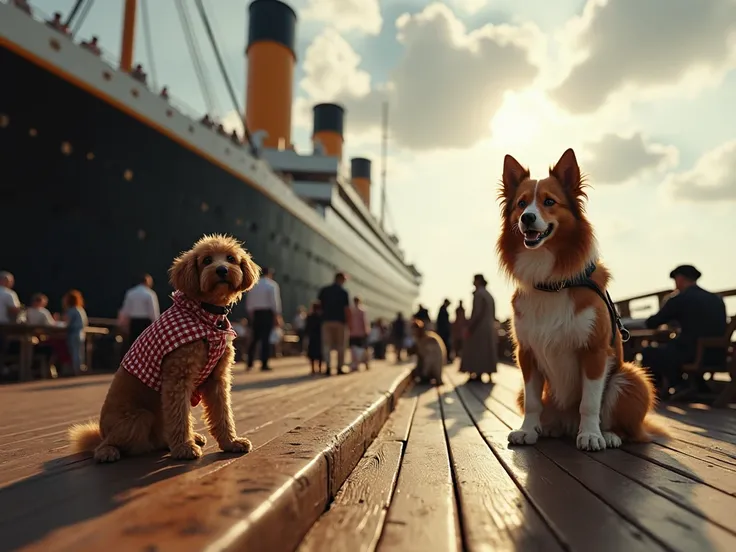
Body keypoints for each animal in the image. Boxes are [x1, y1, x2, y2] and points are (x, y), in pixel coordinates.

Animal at [67, 233, 262, 462]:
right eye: (206, 260)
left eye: (231, 258)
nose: (221, 269)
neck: (206, 316)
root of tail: (102, 431)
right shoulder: (177, 378)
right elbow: (180, 417)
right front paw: (185, 448)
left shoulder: (217, 378)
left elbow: (223, 414)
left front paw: (231, 443)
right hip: (139, 418)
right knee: (104, 445)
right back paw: (108, 451)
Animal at [494, 149, 668, 450]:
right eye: (521, 204)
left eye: (549, 202)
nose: (527, 218)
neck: (552, 283)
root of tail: (566, 423)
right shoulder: (526, 353)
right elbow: (532, 402)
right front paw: (527, 430)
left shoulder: (594, 351)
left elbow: (590, 402)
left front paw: (590, 434)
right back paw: (548, 428)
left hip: (631, 377)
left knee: (623, 425)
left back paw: (607, 434)